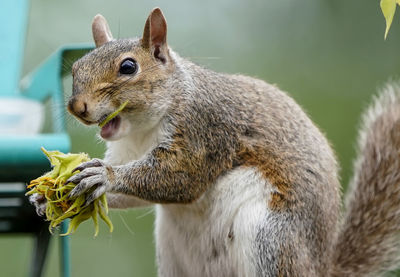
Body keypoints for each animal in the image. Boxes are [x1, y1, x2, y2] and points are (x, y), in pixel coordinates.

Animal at [31, 7, 400, 276]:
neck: (143, 130)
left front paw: (104, 176)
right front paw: (44, 197)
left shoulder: (205, 130)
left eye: (128, 67)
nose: (77, 107)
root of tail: (320, 269)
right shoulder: (126, 148)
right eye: (77, 67)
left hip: (272, 240)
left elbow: (182, 178)